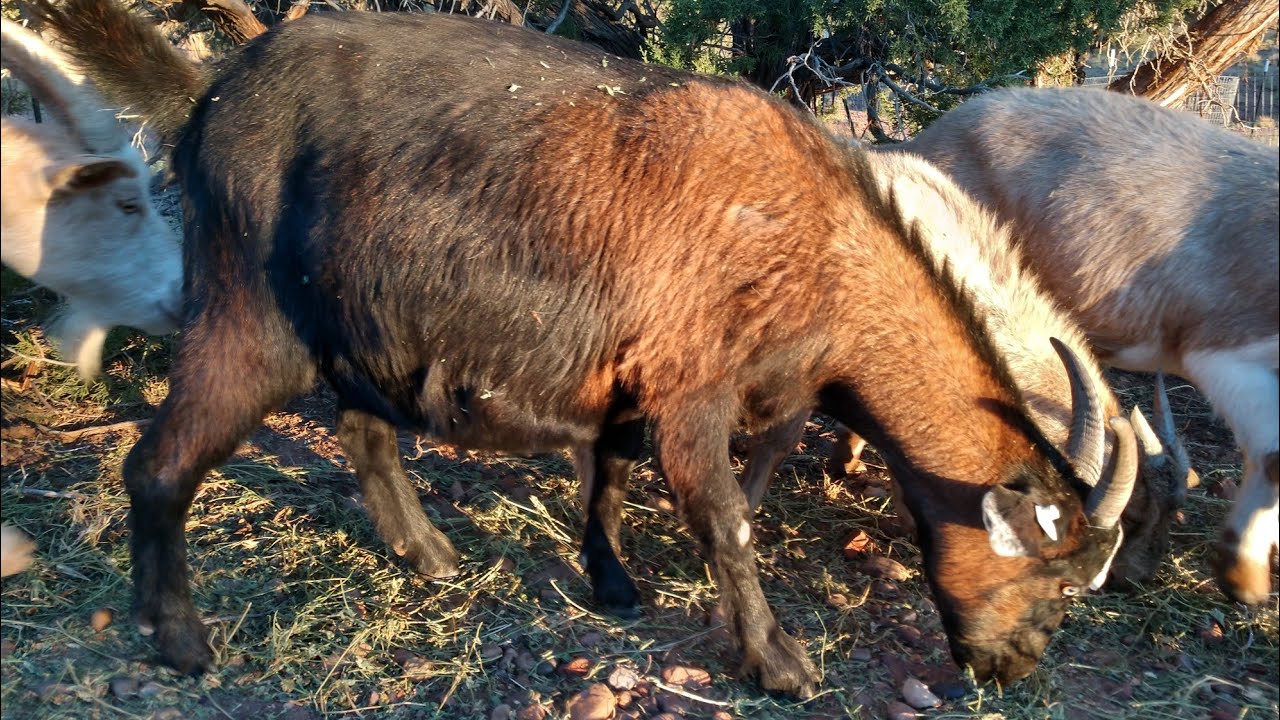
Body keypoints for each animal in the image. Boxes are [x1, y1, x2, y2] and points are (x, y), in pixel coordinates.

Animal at [34, 1, 1138, 694]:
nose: (1010, 670)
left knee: (364, 431)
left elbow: (606, 477)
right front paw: (777, 663)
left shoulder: (626, 373)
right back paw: (179, 641)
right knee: (160, 464)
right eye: (1051, 581)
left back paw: (430, 555)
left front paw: (611, 586)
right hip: (248, 313)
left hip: (360, 319)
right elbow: (727, 524)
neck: (824, 244)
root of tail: (209, 97)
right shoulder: (692, 385)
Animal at [895, 87, 1278, 605]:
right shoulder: (1227, 355)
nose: (1133, 578)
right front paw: (1243, 577)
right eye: (1132, 517)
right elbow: (1273, 457)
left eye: (1173, 512)